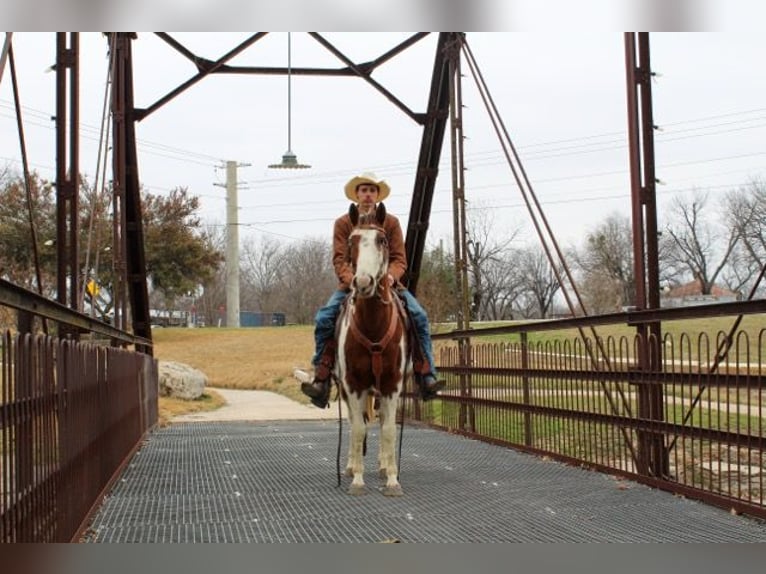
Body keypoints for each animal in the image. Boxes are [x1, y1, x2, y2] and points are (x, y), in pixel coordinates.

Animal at [334, 204, 408, 500]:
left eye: (383, 240)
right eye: (351, 241)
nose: (363, 282)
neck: (374, 327)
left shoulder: (392, 384)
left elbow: (388, 430)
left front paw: (392, 480)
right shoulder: (354, 385)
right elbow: (358, 428)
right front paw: (357, 480)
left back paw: (385, 464)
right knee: (355, 422)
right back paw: (351, 466)